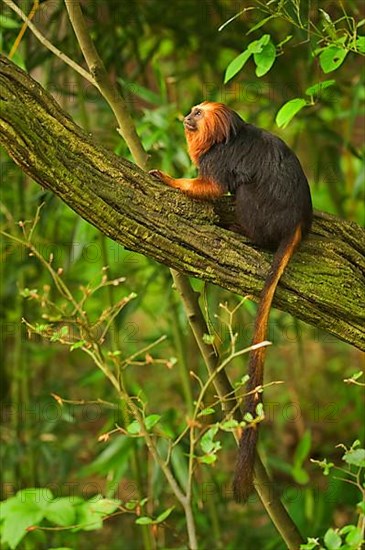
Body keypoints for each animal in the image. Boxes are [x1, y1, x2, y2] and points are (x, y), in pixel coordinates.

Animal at [149, 102, 312, 504]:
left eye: (197, 113)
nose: (187, 115)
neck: (219, 138)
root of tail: (296, 223)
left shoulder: (217, 160)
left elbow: (213, 187)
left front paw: (170, 180)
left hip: (262, 214)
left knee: (245, 194)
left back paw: (247, 234)